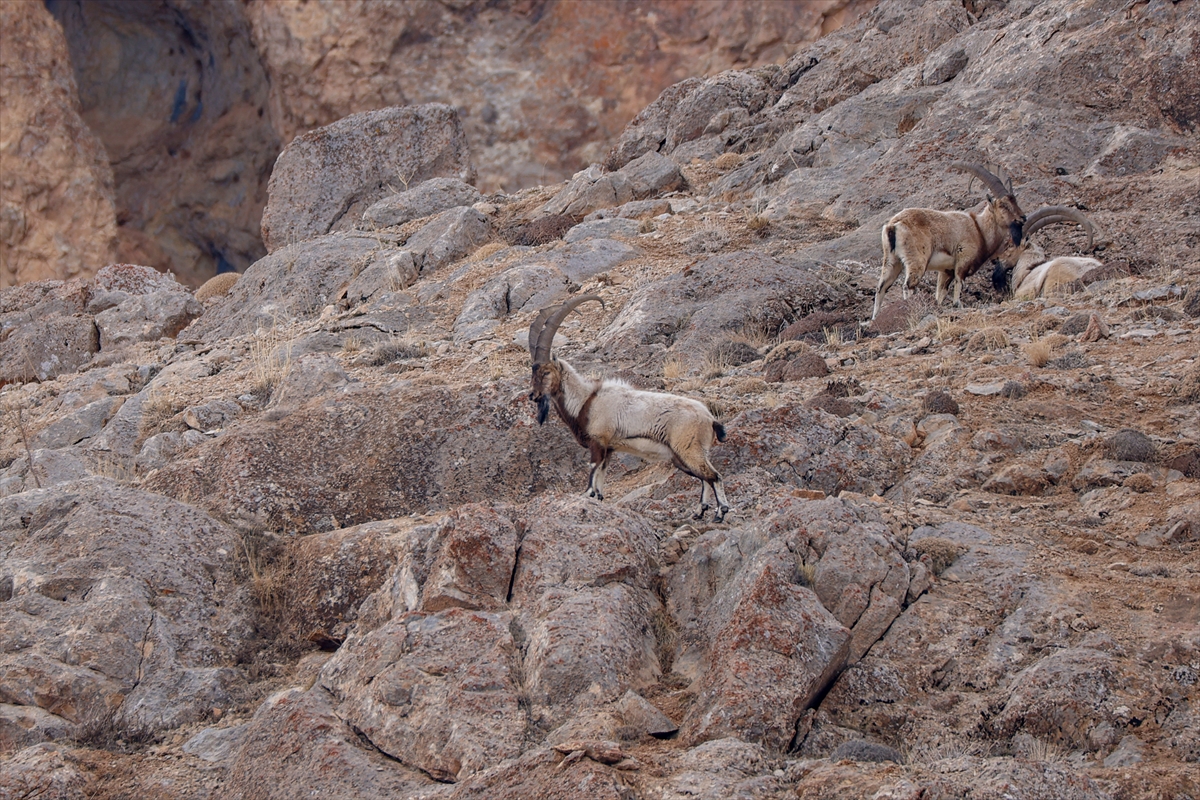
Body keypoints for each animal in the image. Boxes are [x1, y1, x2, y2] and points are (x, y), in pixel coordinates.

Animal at [528, 297, 729, 522]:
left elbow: (592, 474)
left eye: (546, 372)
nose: (533, 395)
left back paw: (720, 512)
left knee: (714, 476)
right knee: (705, 478)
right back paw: (699, 511)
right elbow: (600, 481)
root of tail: (710, 418)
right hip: (685, 456)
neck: (585, 400)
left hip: (689, 450)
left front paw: (585, 498)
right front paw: (599, 500)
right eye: (533, 372)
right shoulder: (609, 449)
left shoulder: (598, 442)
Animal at [868, 161, 1027, 319]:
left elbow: (940, 294)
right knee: (909, 286)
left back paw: (875, 319)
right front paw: (958, 305)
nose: (1023, 218)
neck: (980, 230)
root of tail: (893, 225)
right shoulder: (962, 261)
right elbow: (958, 289)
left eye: (1015, 201)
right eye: (1003, 205)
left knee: (881, 287)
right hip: (916, 261)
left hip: (892, 260)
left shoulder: (946, 271)